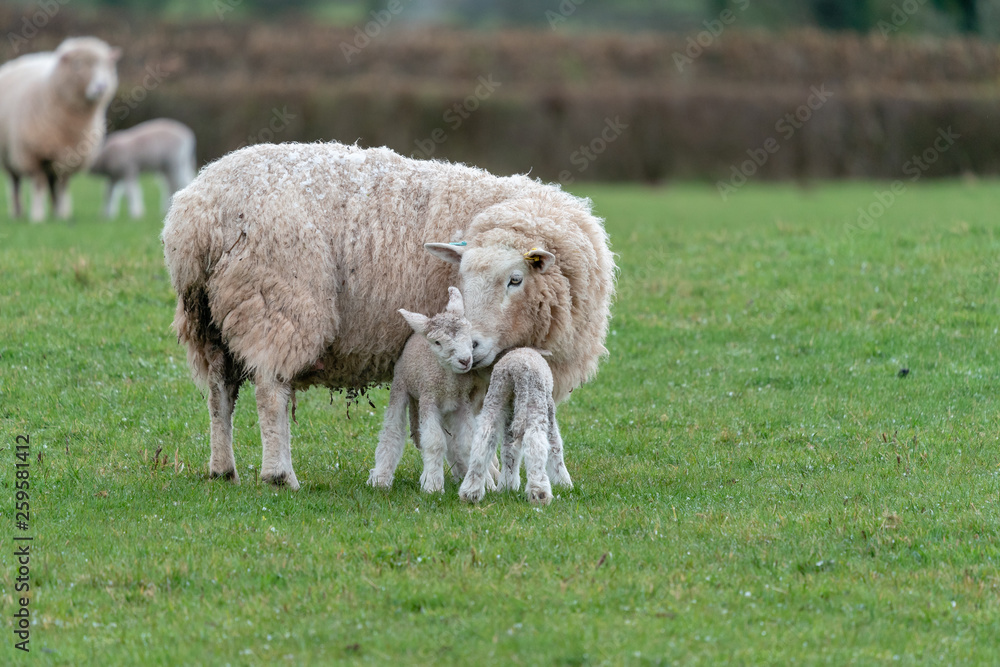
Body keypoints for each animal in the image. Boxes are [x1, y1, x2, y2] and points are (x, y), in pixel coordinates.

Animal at [0, 37, 119, 222]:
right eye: (77, 64)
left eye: (107, 65)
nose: (101, 87)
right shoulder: (33, 156)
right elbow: (38, 185)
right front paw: (38, 216)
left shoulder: (71, 158)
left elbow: (63, 187)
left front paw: (63, 215)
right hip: (9, 157)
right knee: (15, 184)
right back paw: (17, 213)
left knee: (53, 183)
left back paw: (55, 212)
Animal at [163, 142, 612, 490]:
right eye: (463, 278)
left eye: (515, 280)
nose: (474, 346)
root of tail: (198, 216)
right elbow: (474, 425)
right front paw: (485, 474)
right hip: (278, 304)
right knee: (271, 392)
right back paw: (279, 474)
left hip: (210, 321)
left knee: (220, 393)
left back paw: (223, 469)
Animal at [458, 350, 572, 506]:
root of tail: (517, 371)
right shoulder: (549, 407)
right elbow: (555, 446)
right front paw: (564, 483)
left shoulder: (510, 417)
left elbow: (509, 451)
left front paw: (508, 486)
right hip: (535, 400)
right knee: (535, 444)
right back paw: (539, 494)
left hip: (497, 395)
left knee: (483, 441)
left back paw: (470, 493)